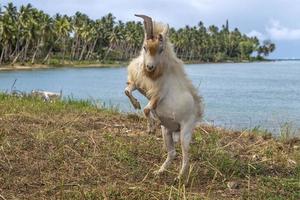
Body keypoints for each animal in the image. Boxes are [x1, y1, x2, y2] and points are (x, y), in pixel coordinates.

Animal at [124, 13, 204, 180]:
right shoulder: (138, 84)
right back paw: (159, 172)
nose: (150, 67)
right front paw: (136, 105)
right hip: (167, 131)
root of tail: (197, 113)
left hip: (186, 131)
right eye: (145, 47)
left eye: (161, 49)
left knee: (186, 155)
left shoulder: (158, 95)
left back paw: (179, 177)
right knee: (172, 153)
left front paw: (151, 128)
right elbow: (127, 91)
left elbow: (147, 109)